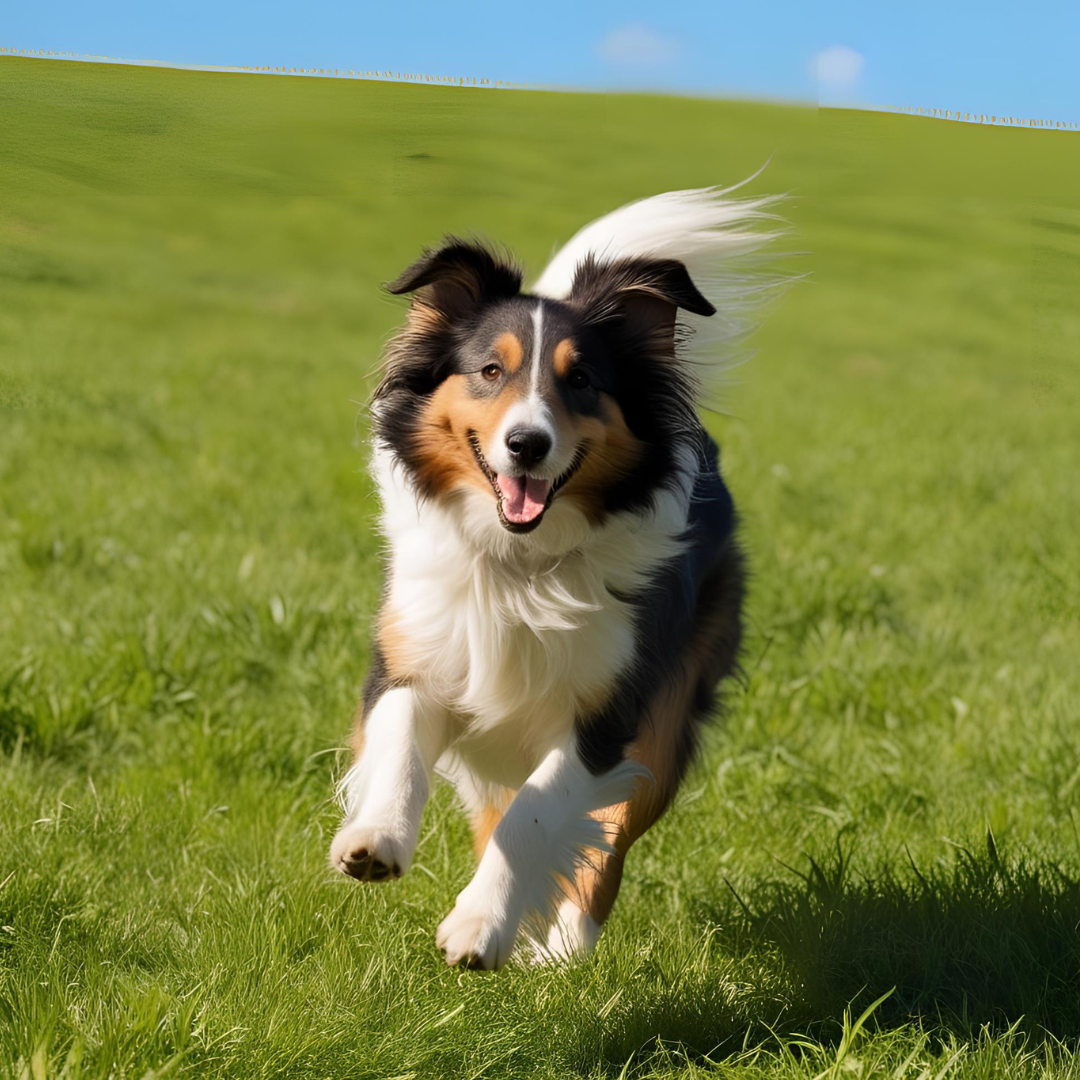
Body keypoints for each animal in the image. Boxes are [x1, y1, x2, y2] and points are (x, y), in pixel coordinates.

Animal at [328, 181, 777, 967]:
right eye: (490, 370)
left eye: (584, 380)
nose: (528, 444)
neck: (521, 565)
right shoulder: (415, 655)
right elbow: (403, 744)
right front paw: (374, 840)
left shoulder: (608, 713)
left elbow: (539, 815)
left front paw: (480, 928)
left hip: (667, 721)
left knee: (607, 838)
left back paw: (564, 946)